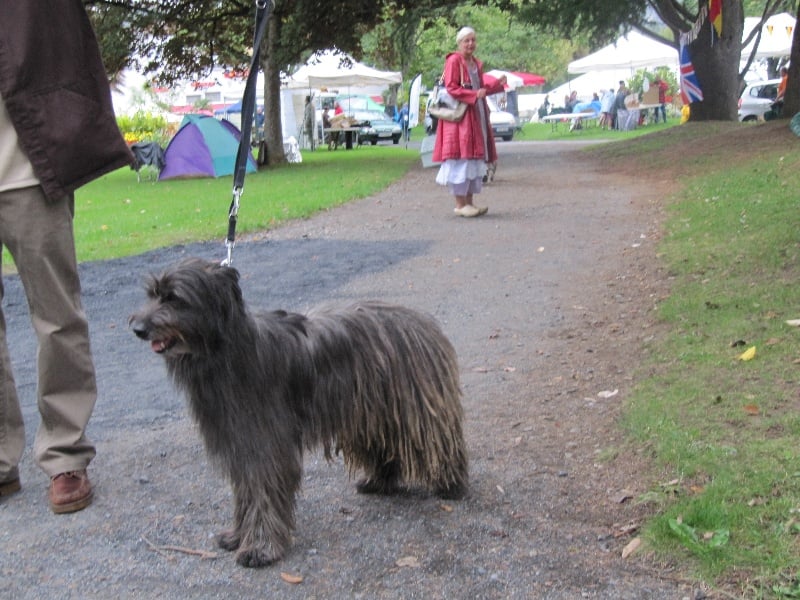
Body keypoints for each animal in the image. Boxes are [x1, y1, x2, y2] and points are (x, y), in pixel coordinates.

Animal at [130, 258, 468, 568]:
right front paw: (238, 536)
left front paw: (260, 548)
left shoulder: (265, 443)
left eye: (174, 297)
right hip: (371, 413)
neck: (226, 352)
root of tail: (422, 321)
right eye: (152, 294)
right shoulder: (238, 442)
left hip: (414, 409)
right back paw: (379, 482)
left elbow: (263, 491)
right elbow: (246, 493)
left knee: (440, 442)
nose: (137, 329)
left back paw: (451, 486)